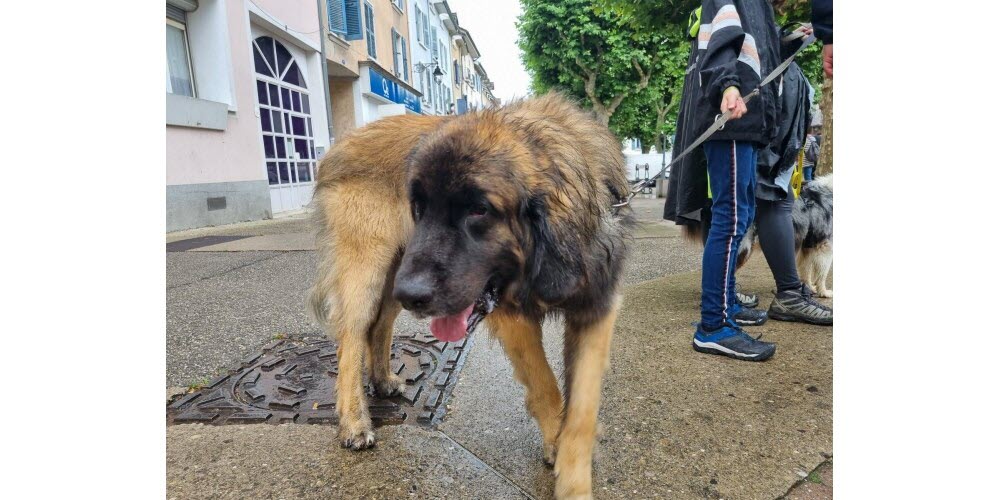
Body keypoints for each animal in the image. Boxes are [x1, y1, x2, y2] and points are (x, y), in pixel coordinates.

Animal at [308, 93, 628, 496]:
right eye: (419, 207)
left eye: (479, 210)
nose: (413, 294)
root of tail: (339, 145)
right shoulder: (512, 314)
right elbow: (545, 384)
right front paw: (560, 450)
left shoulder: (595, 309)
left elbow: (583, 405)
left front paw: (574, 468)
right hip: (372, 269)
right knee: (351, 338)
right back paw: (353, 421)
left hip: (398, 271)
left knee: (379, 326)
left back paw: (382, 380)